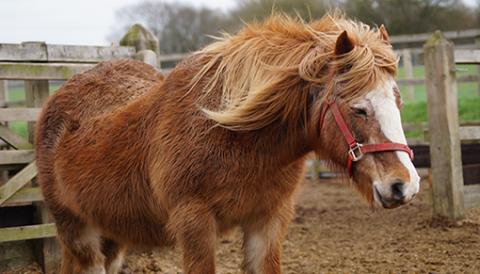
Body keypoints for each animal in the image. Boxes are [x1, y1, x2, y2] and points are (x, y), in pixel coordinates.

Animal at [35, 13, 420, 274]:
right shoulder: (195, 224)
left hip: (111, 232)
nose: (405, 185)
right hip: (76, 230)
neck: (238, 139)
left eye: (398, 102)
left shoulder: (267, 221)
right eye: (359, 109)